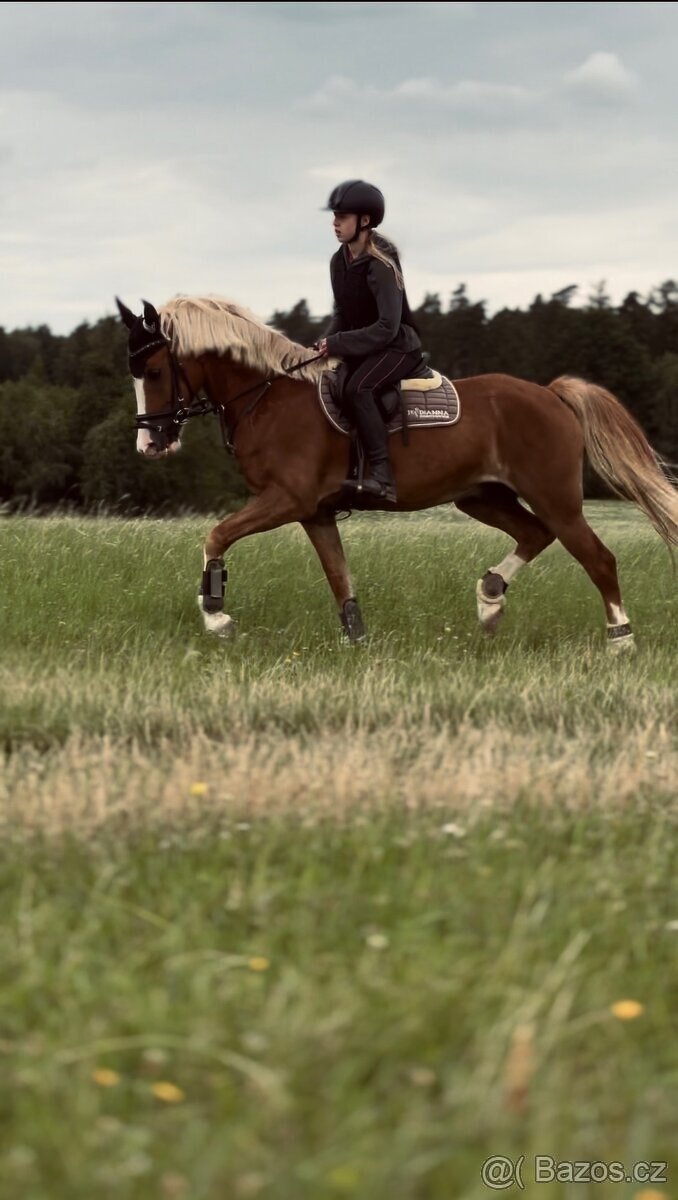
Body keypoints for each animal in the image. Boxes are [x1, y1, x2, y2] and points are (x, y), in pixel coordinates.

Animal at [116, 294, 678, 651]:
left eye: (156, 371)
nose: (150, 443)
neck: (269, 396)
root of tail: (552, 393)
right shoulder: (315, 513)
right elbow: (339, 578)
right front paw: (357, 641)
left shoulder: (287, 499)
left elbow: (216, 536)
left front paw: (217, 617)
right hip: (482, 496)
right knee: (534, 535)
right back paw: (489, 601)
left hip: (555, 497)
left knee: (597, 558)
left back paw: (620, 640)